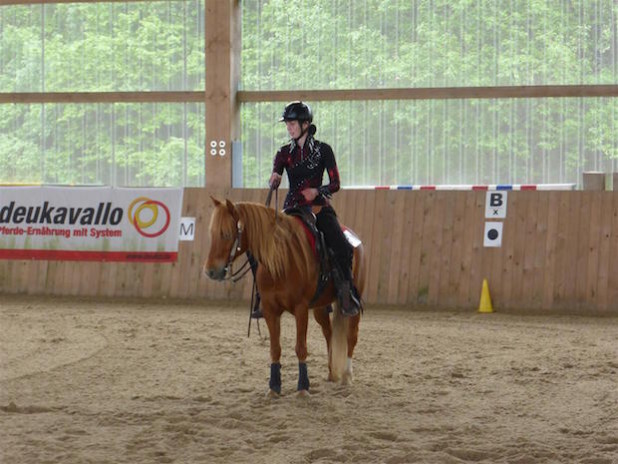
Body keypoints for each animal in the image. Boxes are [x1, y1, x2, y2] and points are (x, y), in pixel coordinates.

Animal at [205, 196, 364, 396]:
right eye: (212, 233)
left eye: (226, 234)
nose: (210, 271)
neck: (281, 259)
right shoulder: (270, 309)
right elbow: (275, 349)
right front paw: (273, 387)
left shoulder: (301, 308)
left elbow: (301, 348)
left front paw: (303, 387)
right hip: (320, 307)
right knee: (329, 333)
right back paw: (331, 373)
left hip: (353, 302)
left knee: (351, 335)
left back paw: (346, 376)